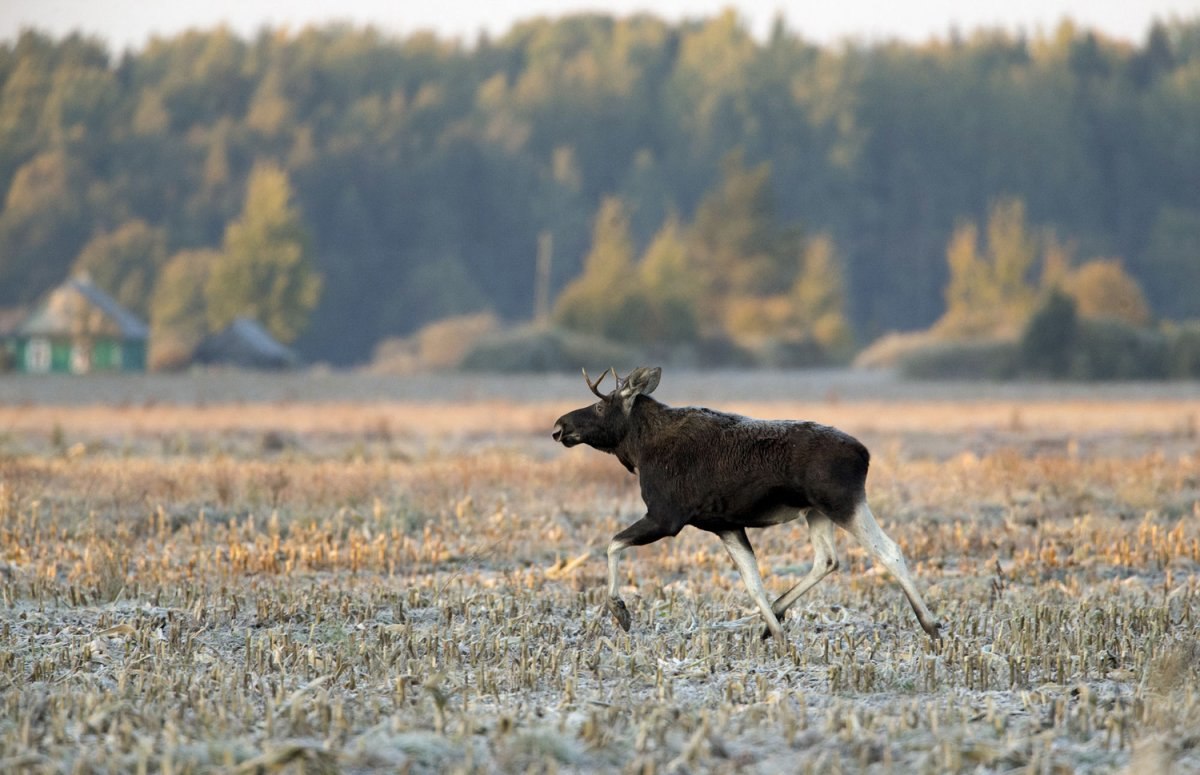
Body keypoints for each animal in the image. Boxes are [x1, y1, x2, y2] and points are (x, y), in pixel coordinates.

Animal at [549, 367, 940, 647]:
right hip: (816, 511)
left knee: (889, 550)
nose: (559, 426)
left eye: (600, 405)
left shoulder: (666, 516)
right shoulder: (725, 524)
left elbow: (612, 543)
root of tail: (865, 454)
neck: (637, 449)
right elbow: (753, 581)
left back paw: (931, 625)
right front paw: (778, 634)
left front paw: (620, 610)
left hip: (842, 501)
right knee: (828, 559)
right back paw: (776, 618)